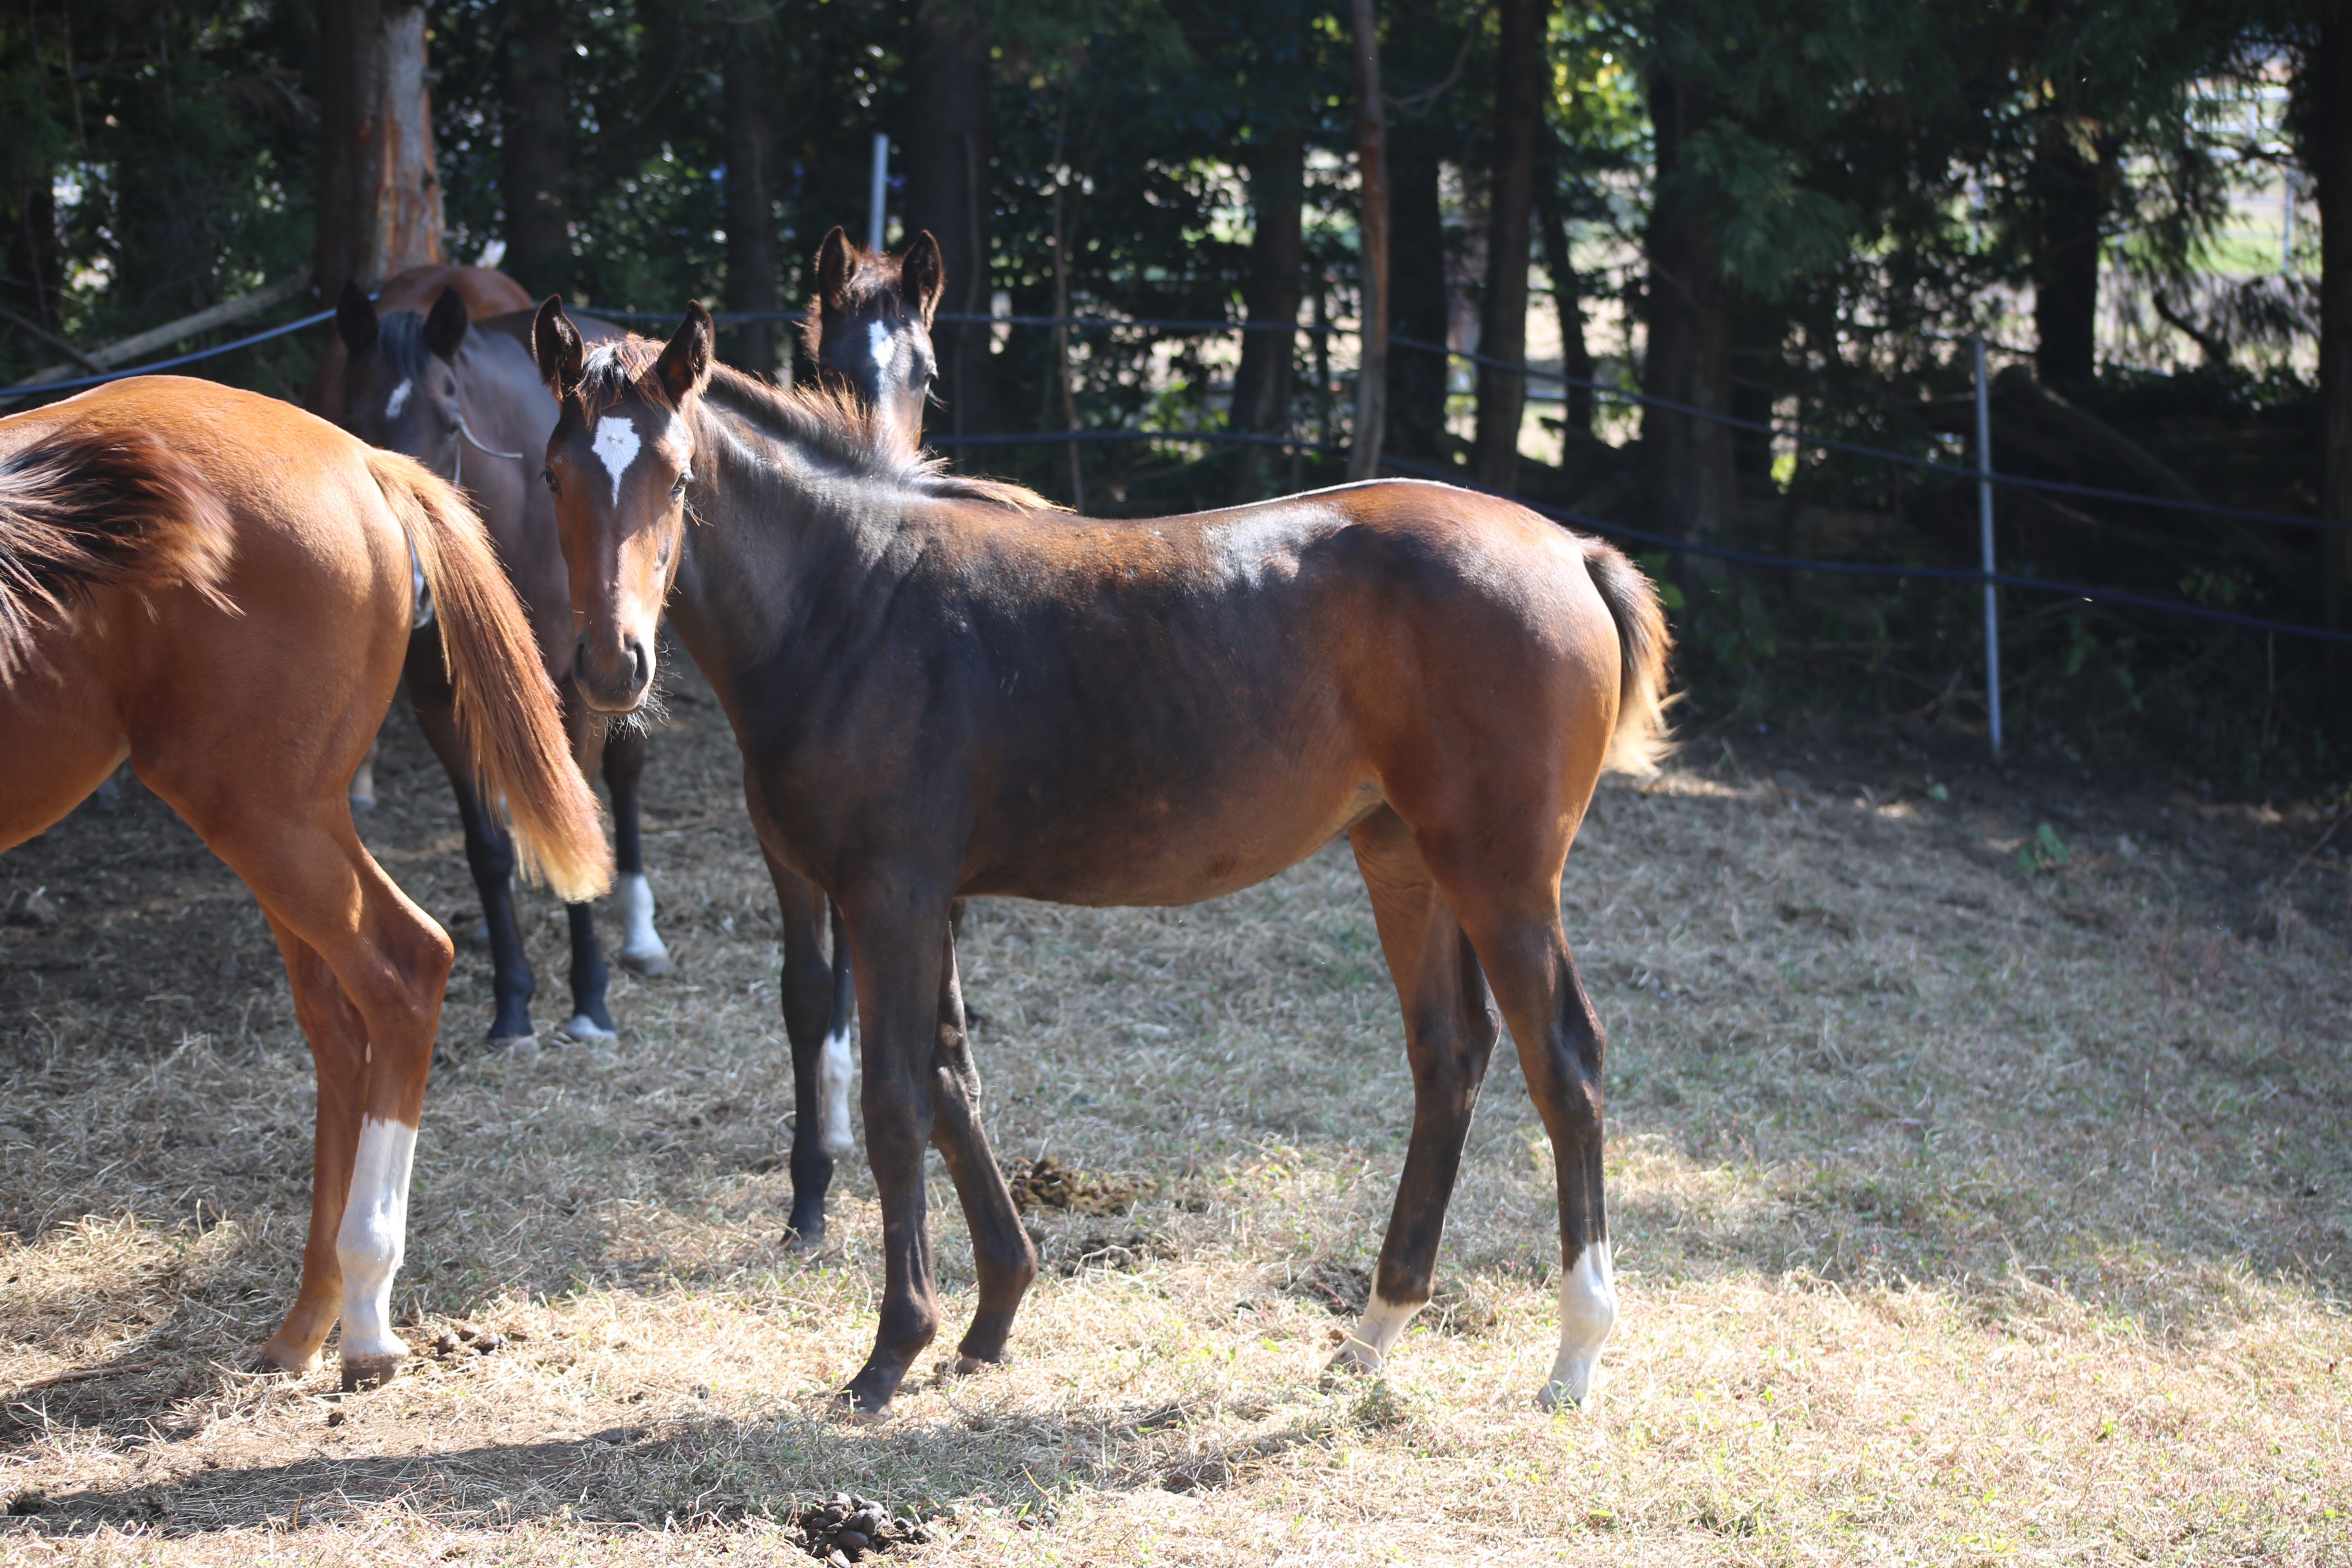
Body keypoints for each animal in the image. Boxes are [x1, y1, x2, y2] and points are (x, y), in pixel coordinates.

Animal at [2, 374, 607, 1392]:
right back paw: (308, 1319)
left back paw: (363, 1312)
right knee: (339, 1020)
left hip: (262, 812)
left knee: (403, 970)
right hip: (284, 820)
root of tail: (360, 458)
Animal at [324, 288, 673, 1048]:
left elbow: (587, 804)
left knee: (626, 775)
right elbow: (484, 847)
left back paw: (639, 932)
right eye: (352, 426)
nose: (414, 583)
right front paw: (512, 1000)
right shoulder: (436, 698)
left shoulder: (581, 686)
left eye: (451, 426)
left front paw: (589, 998)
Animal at [534, 301, 1675, 1420]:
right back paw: (1371, 1335)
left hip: (1500, 871)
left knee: (1564, 1060)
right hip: (1403, 855)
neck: (849, 602)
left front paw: (891, 1353)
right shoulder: (930, 901)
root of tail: (1571, 552)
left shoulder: (888, 895)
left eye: (678, 477)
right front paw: (992, 1317)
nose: (612, 666)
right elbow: (952, 1081)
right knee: (1449, 1054)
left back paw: (1573, 1356)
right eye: (553, 474)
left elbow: (897, 1104)